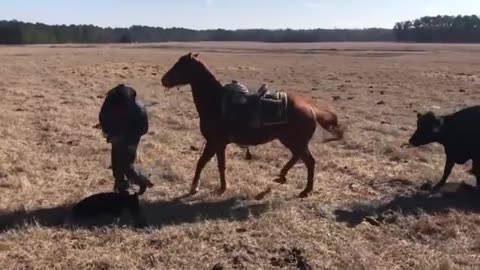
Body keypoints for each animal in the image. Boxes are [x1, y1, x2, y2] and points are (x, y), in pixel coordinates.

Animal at [162, 52, 344, 197]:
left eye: (180, 65)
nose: (164, 80)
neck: (215, 102)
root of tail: (311, 108)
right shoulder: (219, 144)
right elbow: (221, 165)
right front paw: (222, 187)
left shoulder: (214, 142)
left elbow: (202, 162)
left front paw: (194, 188)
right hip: (291, 141)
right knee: (298, 157)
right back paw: (282, 176)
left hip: (296, 142)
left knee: (309, 161)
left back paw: (305, 190)